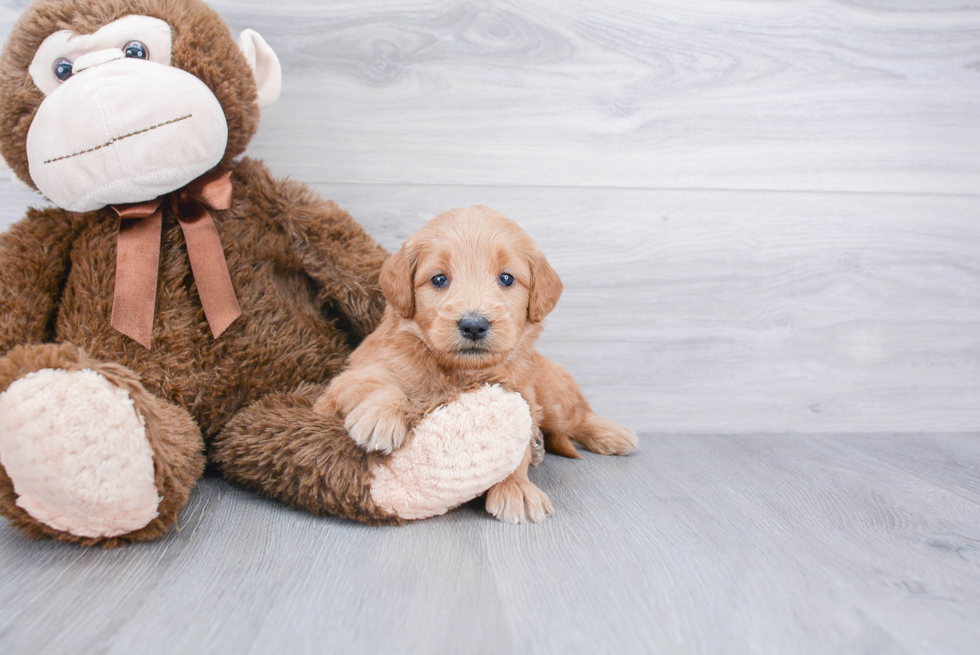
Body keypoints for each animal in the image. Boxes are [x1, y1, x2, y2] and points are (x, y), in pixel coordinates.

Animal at [314, 205, 636, 524]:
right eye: (439, 279)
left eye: (506, 278)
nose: (473, 325)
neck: (455, 371)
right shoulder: (345, 380)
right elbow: (376, 383)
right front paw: (381, 418)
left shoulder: (521, 397)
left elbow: (515, 448)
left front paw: (516, 486)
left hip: (552, 396)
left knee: (579, 416)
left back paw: (613, 434)